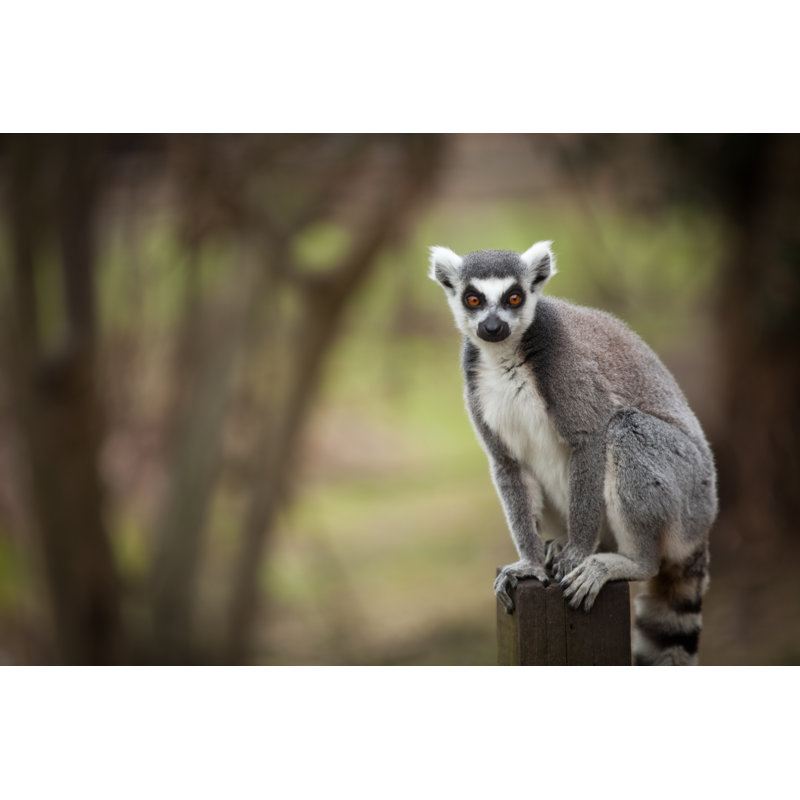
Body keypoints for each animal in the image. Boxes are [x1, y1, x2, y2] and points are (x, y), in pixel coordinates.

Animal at [429, 241, 717, 665]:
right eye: (473, 299)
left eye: (514, 298)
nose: (493, 328)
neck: (505, 358)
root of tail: (705, 522)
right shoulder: (477, 386)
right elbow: (507, 462)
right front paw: (530, 563)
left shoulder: (568, 369)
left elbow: (591, 436)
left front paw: (577, 553)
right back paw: (558, 545)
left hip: (687, 492)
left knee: (624, 429)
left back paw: (625, 560)